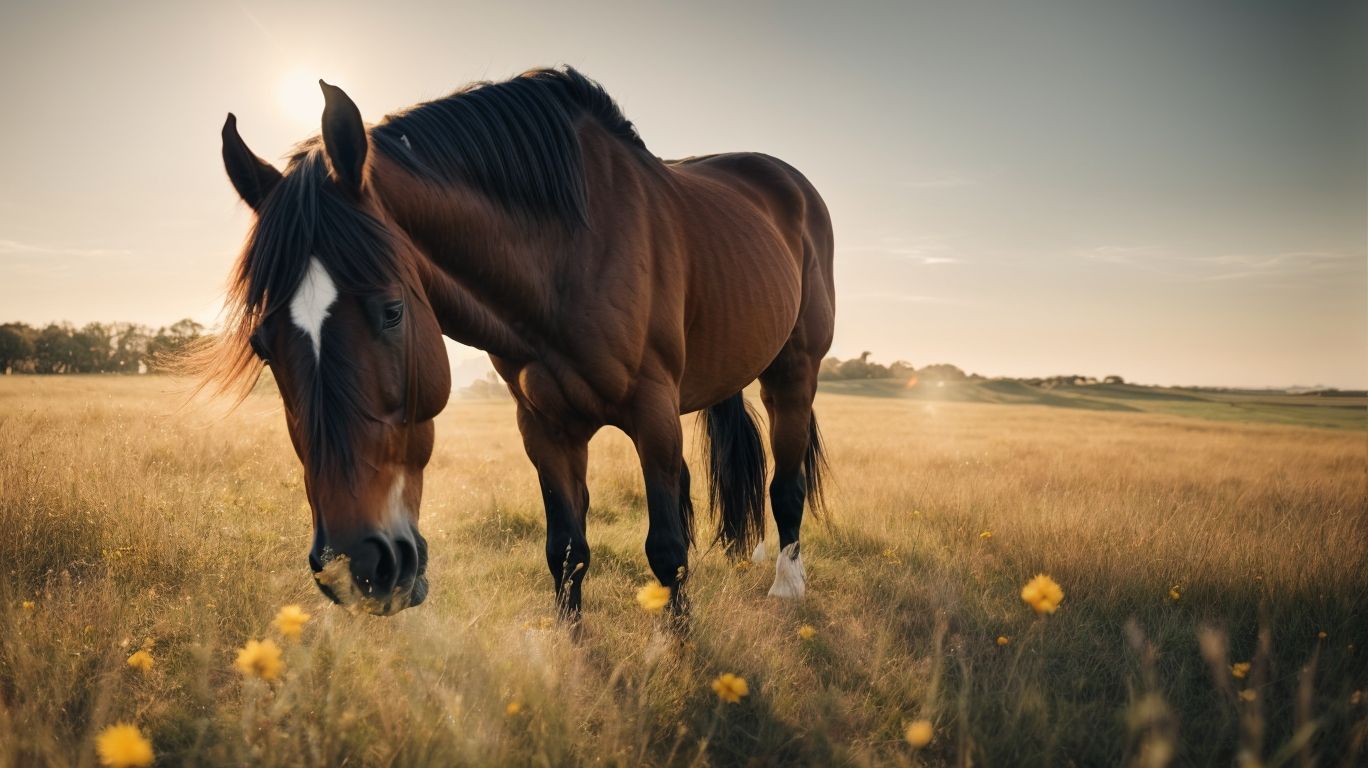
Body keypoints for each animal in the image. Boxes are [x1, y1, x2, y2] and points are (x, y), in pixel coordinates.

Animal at [198, 66, 834, 620]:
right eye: (263, 345)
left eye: (393, 312)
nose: (355, 567)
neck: (569, 257)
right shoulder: (545, 428)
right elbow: (568, 553)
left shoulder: (653, 413)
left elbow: (667, 551)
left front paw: (679, 649)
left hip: (793, 373)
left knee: (786, 486)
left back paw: (787, 586)